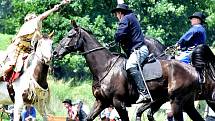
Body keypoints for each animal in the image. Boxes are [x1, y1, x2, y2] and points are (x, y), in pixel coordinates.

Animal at [52, 21, 203, 121]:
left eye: (70, 35)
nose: (55, 52)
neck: (105, 67)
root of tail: (193, 70)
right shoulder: (101, 102)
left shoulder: (119, 103)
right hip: (184, 103)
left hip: (176, 102)